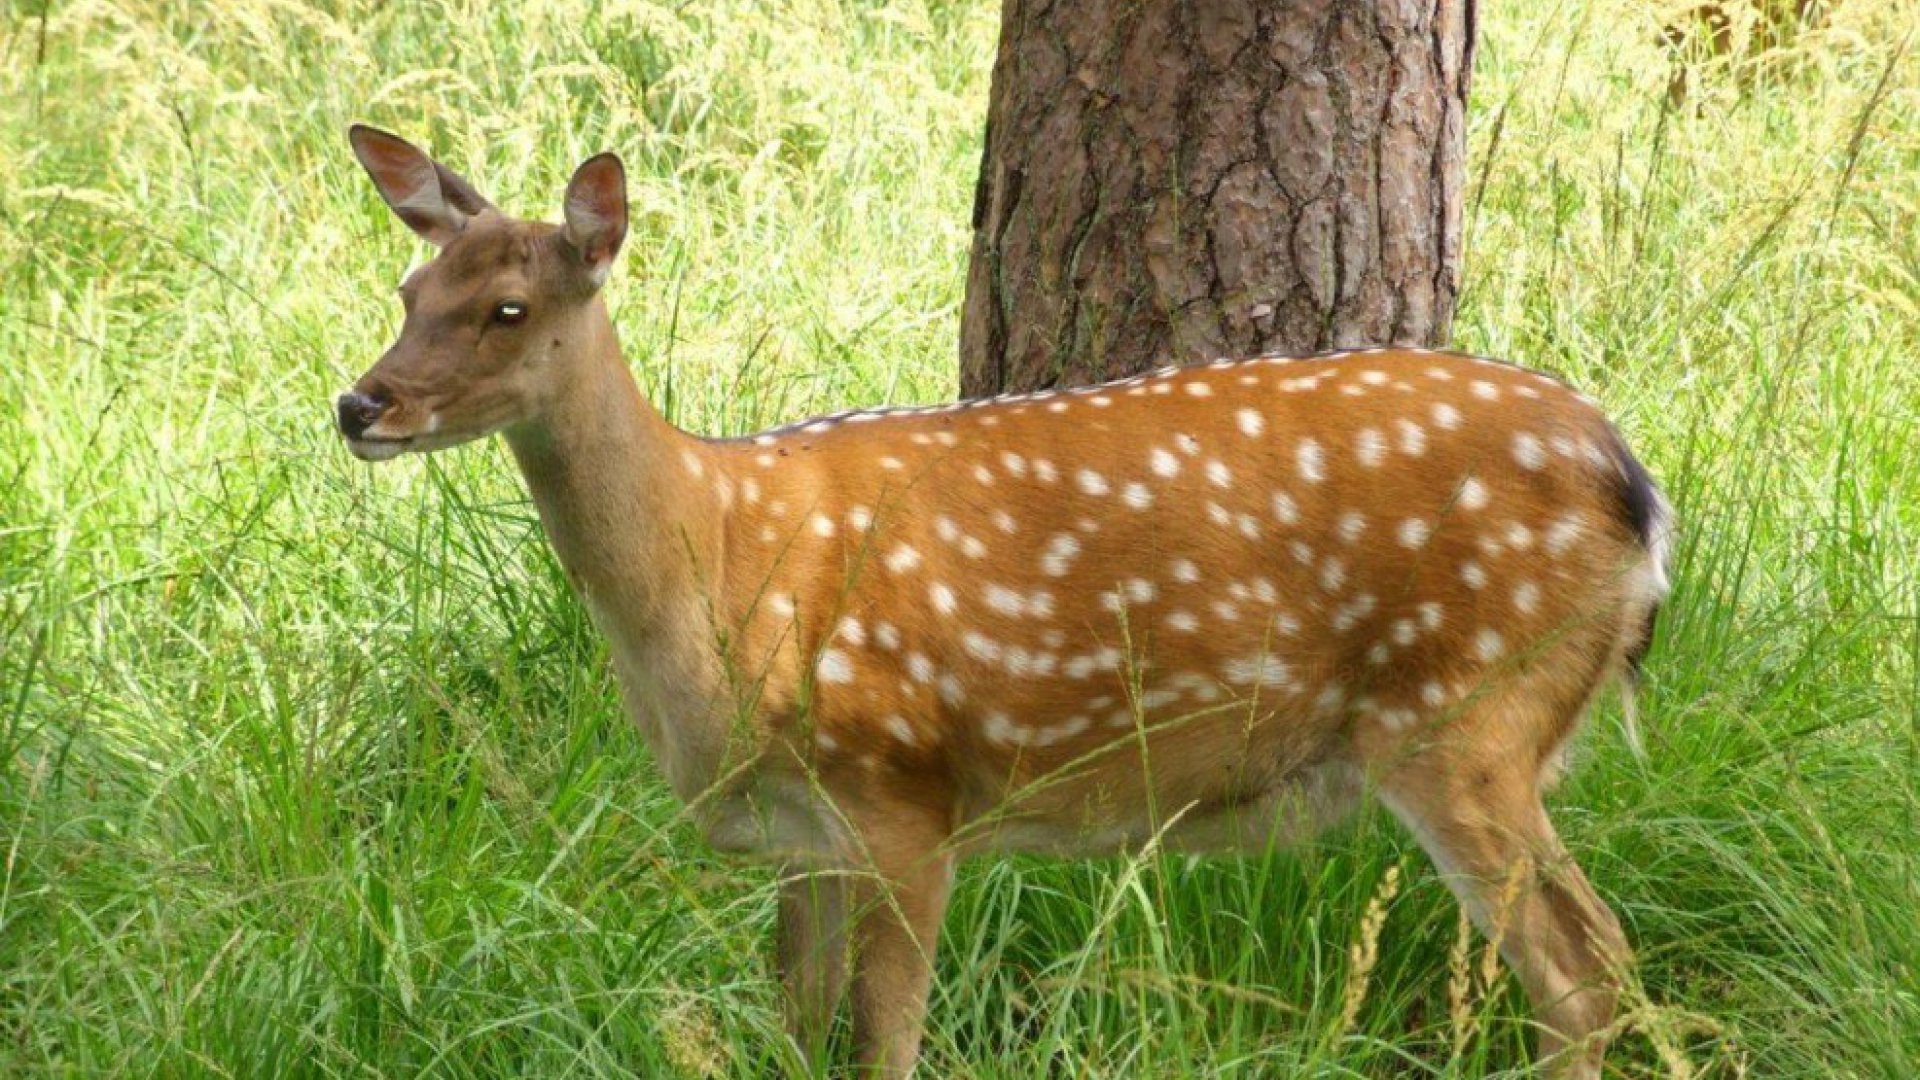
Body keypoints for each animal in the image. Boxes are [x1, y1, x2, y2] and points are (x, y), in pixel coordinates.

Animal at [337, 127, 1674, 1076]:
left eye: (509, 308)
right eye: (406, 287)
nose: (360, 405)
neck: (716, 564)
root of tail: (1638, 491)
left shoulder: (904, 790)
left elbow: (883, 1047)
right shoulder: (805, 835)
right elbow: (791, 1033)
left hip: (1467, 709)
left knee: (1586, 969)